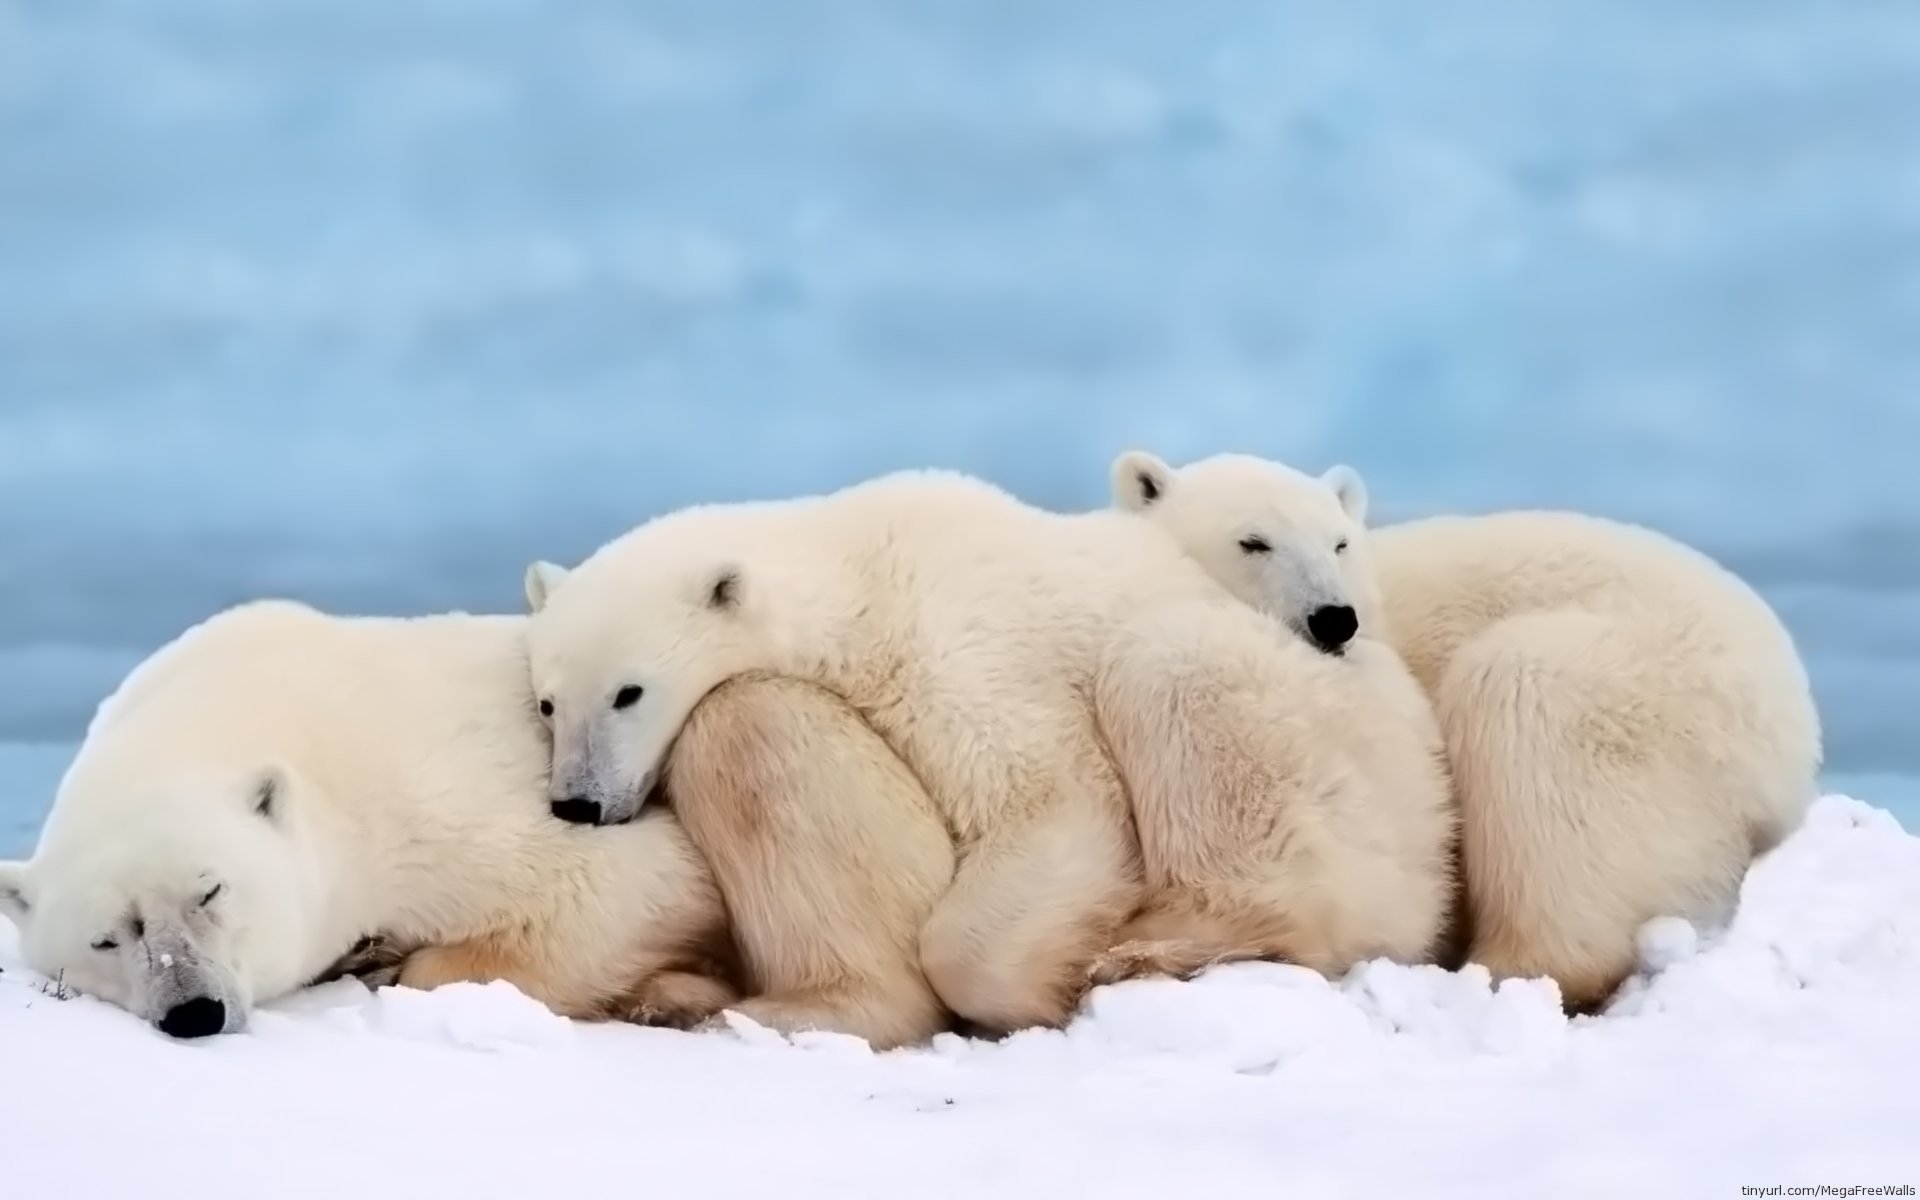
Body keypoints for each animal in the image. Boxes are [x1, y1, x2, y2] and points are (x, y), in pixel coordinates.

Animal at [0, 599, 956, 1044]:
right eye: (108, 938)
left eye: (211, 891)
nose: (192, 1011)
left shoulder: (423, 794)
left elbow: (629, 884)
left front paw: (393, 960)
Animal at [526, 466, 1451, 1029]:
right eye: (547, 702)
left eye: (628, 692)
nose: (579, 802)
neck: (859, 569)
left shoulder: (956, 647)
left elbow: (1051, 802)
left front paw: (1037, 988)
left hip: (1325, 747)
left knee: (1173, 676)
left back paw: (1160, 946)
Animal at [1113, 449, 1812, 1013]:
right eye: (1253, 542)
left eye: (1339, 543)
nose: (1335, 619)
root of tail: (1793, 747)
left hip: (1648, 696)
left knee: (1525, 709)